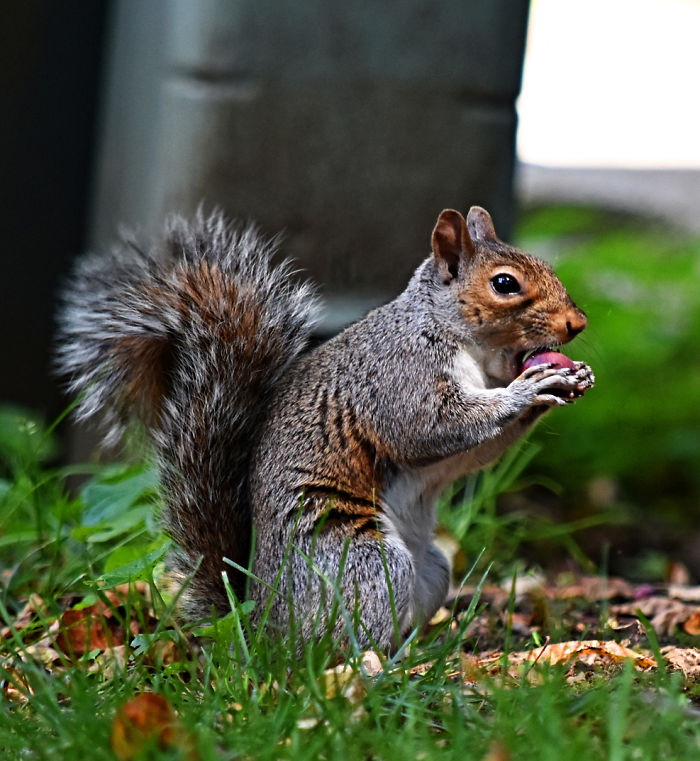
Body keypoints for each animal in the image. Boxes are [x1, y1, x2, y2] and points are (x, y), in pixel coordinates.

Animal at [57, 205, 594, 649]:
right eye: (505, 284)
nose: (578, 323)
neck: (470, 346)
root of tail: (261, 628)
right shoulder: (399, 377)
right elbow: (430, 429)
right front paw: (529, 389)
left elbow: (477, 450)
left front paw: (567, 381)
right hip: (361, 563)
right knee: (338, 645)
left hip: (432, 569)